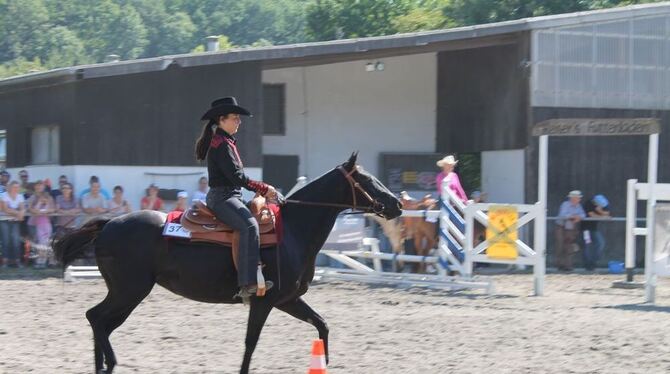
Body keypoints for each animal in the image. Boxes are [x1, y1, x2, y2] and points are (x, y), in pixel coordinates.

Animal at [53, 153, 404, 372]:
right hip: (130, 290)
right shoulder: (264, 301)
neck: (292, 230)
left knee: (100, 322)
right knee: (97, 319)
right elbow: (250, 343)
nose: (397, 204)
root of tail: (109, 225)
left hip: (126, 292)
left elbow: (322, 325)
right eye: (368, 181)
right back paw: (110, 364)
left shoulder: (288, 299)